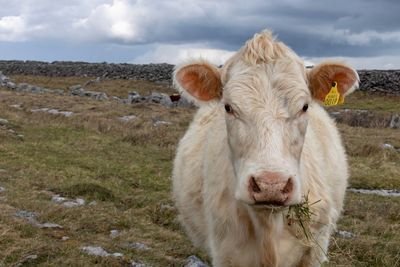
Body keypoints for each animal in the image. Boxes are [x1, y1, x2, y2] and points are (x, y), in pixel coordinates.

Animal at [170, 29, 358, 267]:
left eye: (305, 106)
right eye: (228, 107)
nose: (271, 185)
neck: (269, 224)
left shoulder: (315, 248)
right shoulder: (225, 252)